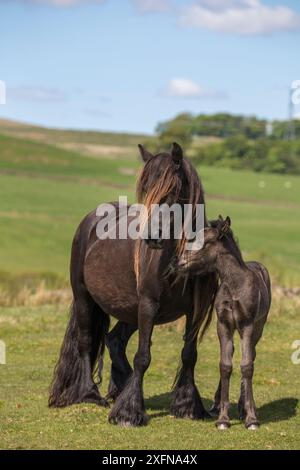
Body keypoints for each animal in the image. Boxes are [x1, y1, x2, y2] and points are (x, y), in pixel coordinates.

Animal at [49, 143, 218, 426]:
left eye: (173, 190)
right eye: (146, 189)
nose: (151, 236)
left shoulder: (195, 311)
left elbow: (189, 354)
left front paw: (187, 405)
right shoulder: (148, 306)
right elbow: (143, 357)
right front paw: (129, 412)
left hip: (128, 309)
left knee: (114, 340)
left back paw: (120, 387)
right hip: (85, 298)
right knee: (85, 341)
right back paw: (90, 393)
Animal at [178, 217, 272, 430]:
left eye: (204, 242)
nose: (180, 262)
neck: (235, 286)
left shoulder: (247, 325)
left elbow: (246, 366)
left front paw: (251, 419)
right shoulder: (223, 325)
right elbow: (225, 365)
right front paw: (222, 419)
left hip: (259, 327)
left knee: (251, 356)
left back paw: (245, 407)